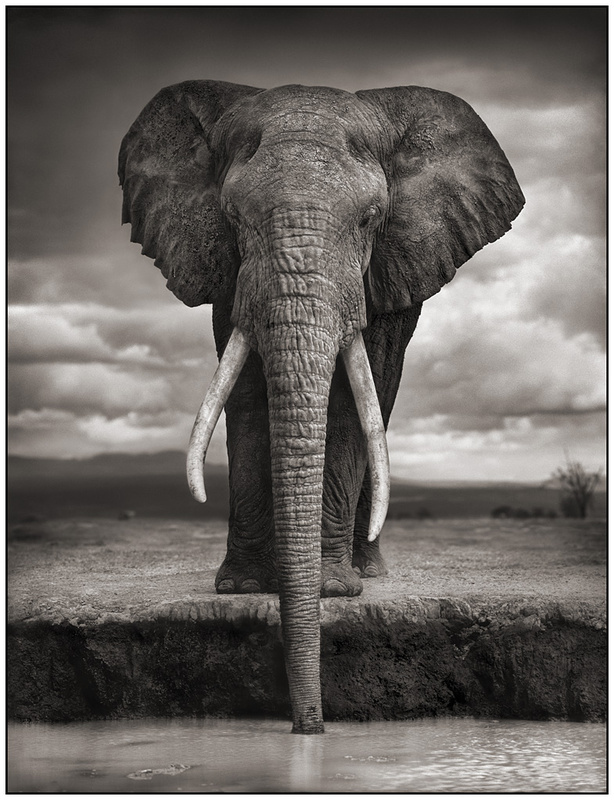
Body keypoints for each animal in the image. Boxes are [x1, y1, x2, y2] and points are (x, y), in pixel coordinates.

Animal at [119, 80, 524, 734]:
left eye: (371, 219)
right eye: (233, 217)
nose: (309, 726)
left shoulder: (382, 269)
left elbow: (352, 403)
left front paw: (333, 591)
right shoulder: (229, 272)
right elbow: (247, 393)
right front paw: (243, 588)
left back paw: (368, 572)